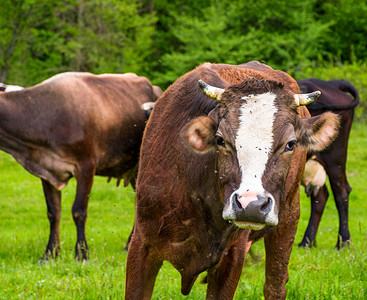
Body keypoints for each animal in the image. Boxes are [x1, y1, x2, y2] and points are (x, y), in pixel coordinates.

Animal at [0, 72, 162, 260]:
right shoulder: (47, 169)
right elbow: (53, 212)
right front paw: (50, 254)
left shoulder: (86, 166)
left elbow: (78, 211)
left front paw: (82, 253)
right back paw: (130, 245)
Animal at [126, 61, 342, 300]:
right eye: (220, 140)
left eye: (291, 144)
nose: (251, 205)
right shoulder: (141, 245)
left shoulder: (233, 254)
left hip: (288, 217)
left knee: (275, 285)